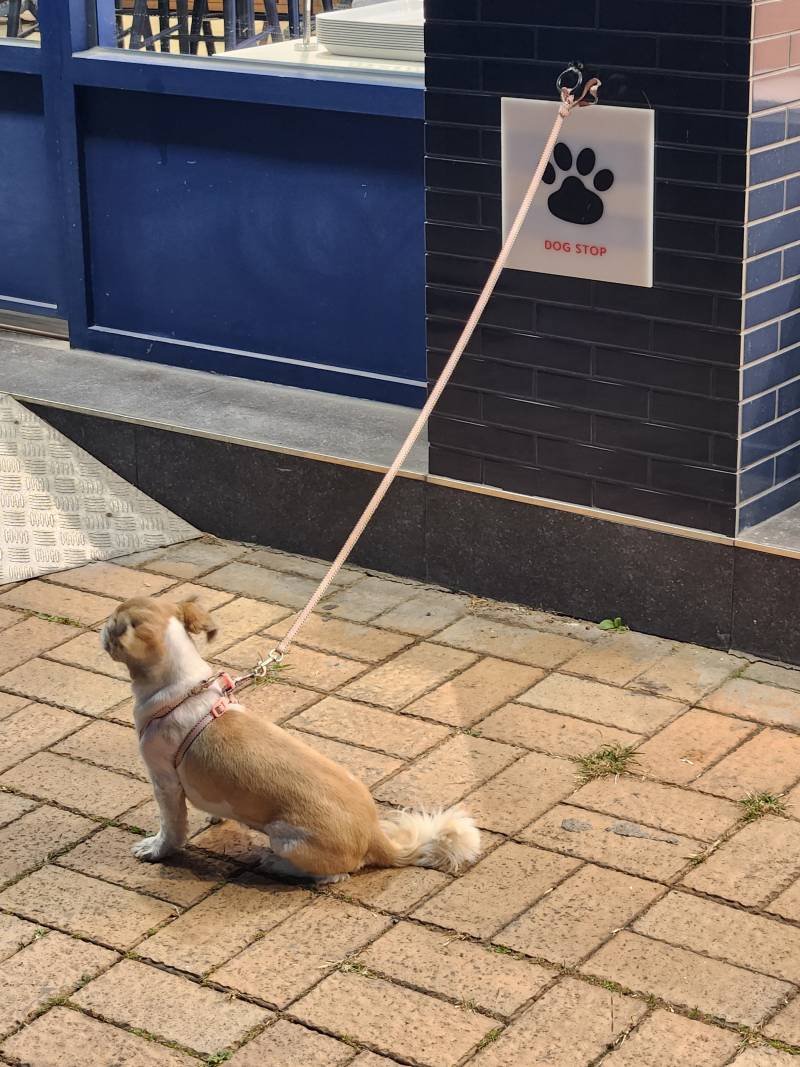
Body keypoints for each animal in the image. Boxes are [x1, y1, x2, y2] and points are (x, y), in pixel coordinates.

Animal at [103, 597, 482, 879]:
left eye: (113, 626)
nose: (102, 628)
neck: (183, 690)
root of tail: (375, 837)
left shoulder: (164, 781)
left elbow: (171, 827)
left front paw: (155, 849)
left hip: (288, 839)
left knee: (332, 875)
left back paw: (275, 864)